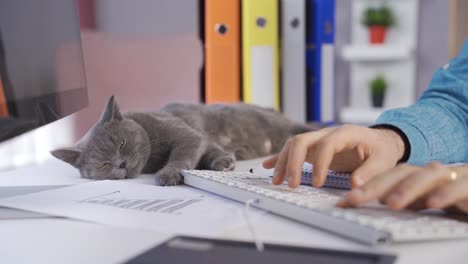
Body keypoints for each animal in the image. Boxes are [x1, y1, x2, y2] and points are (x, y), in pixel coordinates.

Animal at [51, 96, 316, 186]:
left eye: (122, 144)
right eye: (103, 164)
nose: (121, 164)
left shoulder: (186, 134)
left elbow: (183, 154)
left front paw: (168, 174)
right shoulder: (200, 137)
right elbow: (210, 150)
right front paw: (223, 162)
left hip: (280, 125)